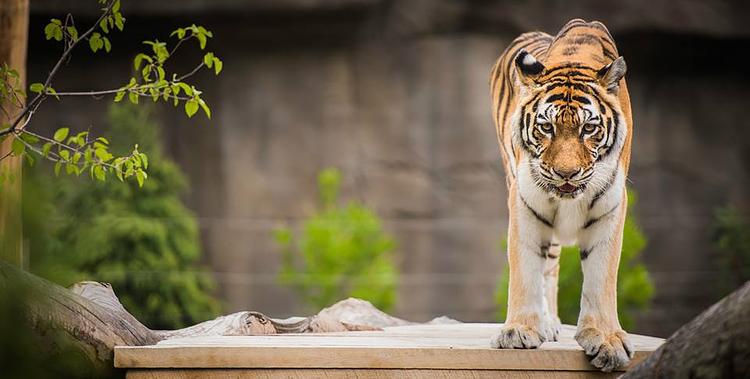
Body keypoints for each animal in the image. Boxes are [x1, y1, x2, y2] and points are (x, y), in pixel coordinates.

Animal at [490, 19, 636, 372]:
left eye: (588, 129)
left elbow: (601, 276)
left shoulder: (612, 206)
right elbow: (525, 269)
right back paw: (546, 324)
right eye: (546, 128)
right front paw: (518, 331)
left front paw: (608, 341)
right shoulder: (524, 202)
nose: (566, 174)